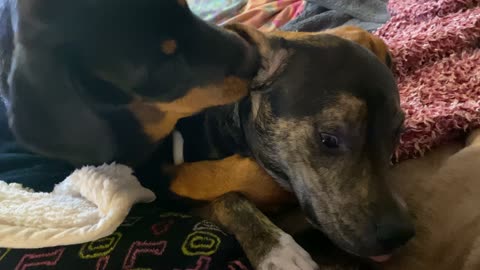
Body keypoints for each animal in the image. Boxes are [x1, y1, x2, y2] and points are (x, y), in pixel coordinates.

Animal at [0, 0, 412, 270]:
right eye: (328, 139)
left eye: (397, 134)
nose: (400, 235)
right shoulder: (176, 198)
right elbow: (229, 199)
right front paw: (277, 249)